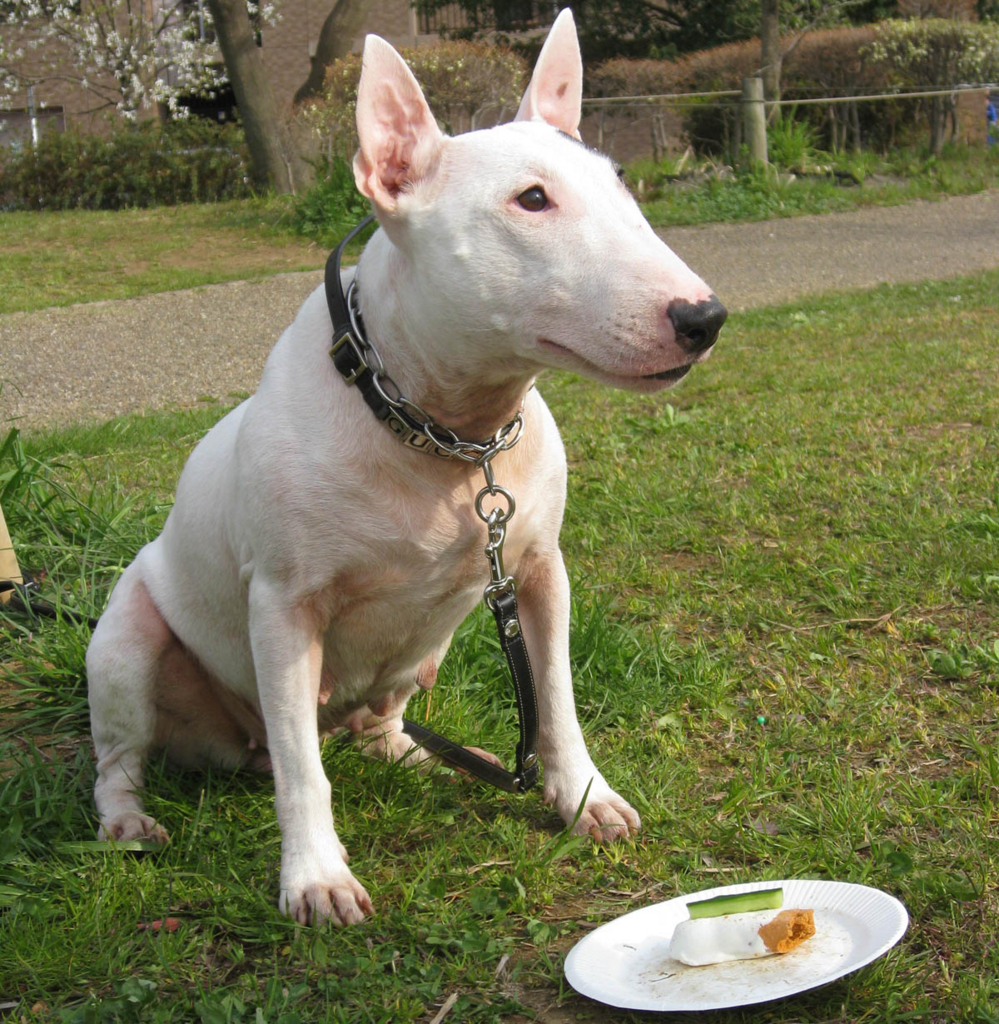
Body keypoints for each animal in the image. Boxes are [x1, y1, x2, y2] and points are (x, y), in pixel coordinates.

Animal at [85, 8, 724, 925]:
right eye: (531, 199)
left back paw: (422, 756)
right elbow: (302, 772)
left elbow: (556, 698)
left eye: (622, 183)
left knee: (379, 722)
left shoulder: (538, 572)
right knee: (133, 757)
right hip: (127, 645)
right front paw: (315, 877)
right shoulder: (282, 608)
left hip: (425, 651)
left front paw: (582, 797)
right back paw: (129, 819)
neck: (445, 436)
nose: (703, 317)